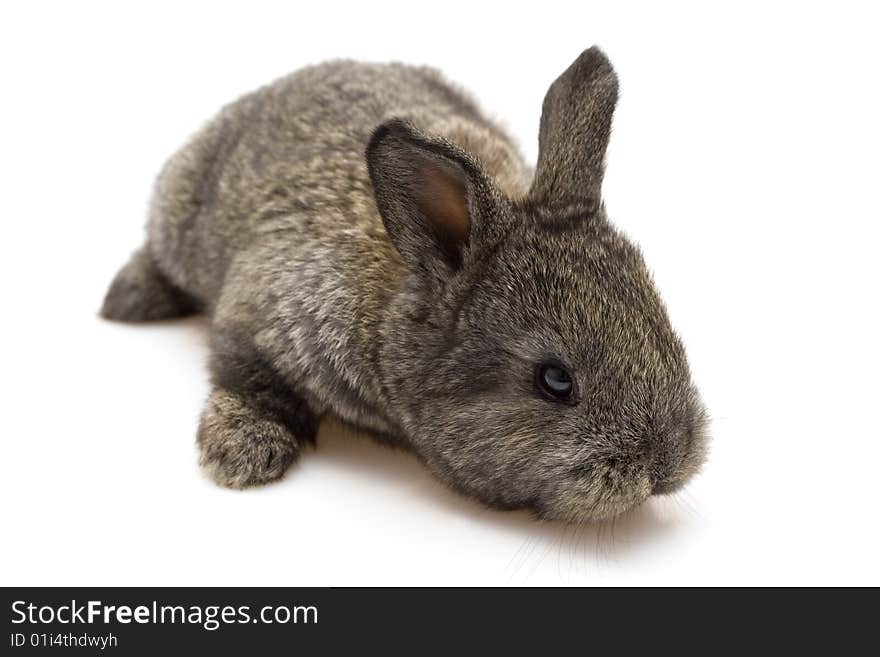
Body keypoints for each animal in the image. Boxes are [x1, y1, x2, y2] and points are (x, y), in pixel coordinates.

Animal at [103, 47, 708, 524]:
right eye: (555, 381)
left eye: (663, 325)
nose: (665, 463)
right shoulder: (258, 315)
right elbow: (247, 378)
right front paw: (243, 454)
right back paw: (128, 300)